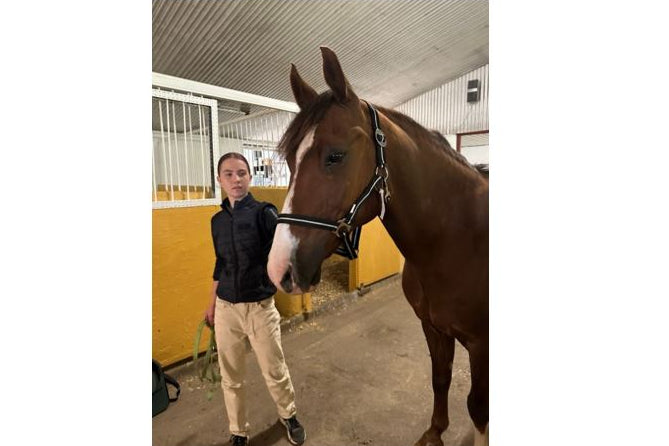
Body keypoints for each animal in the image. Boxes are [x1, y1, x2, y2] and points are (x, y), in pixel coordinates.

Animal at [267, 47, 489, 446]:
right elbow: (441, 378)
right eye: (290, 160)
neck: (456, 241)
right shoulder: (433, 328)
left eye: (335, 156)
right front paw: (434, 432)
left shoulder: (482, 345)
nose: (279, 269)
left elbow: (478, 408)